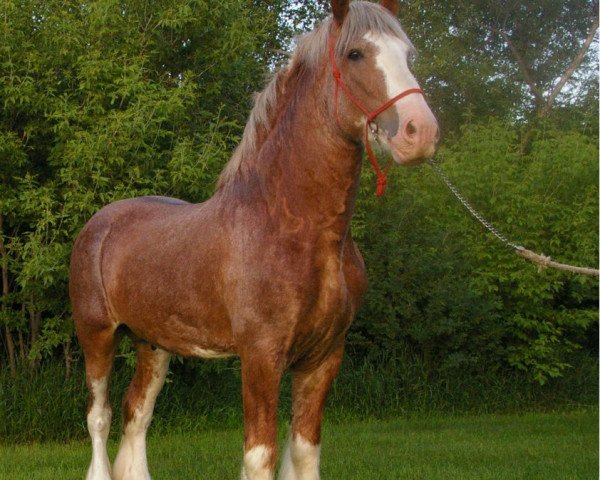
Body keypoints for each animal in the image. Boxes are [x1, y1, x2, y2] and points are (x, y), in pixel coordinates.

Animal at [70, 1, 438, 478]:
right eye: (355, 53)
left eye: (408, 55)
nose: (420, 132)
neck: (295, 227)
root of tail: (101, 222)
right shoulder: (261, 356)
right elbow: (259, 455)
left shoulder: (323, 358)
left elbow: (303, 450)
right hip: (96, 334)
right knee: (100, 416)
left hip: (153, 342)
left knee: (137, 412)